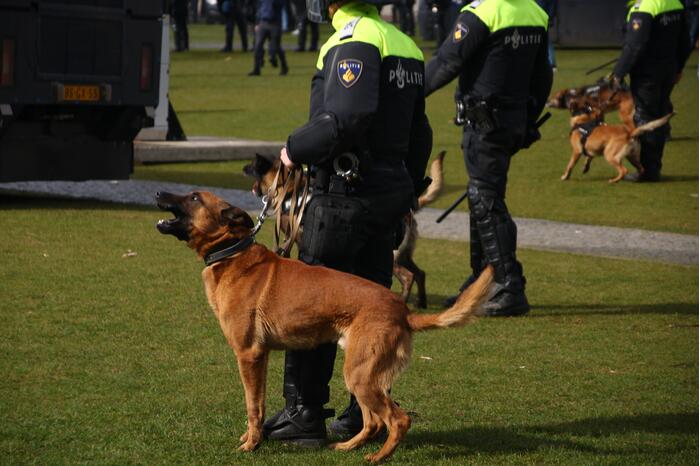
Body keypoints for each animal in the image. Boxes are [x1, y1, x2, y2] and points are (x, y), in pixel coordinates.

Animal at [154, 191, 492, 464]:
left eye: (194, 197)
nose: (158, 192)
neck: (232, 251)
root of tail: (403, 311)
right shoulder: (260, 357)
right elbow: (259, 404)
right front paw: (254, 438)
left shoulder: (248, 355)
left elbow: (252, 406)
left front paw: (251, 445)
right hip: (360, 374)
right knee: (374, 422)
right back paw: (348, 447)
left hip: (360, 375)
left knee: (399, 420)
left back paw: (378, 457)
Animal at [243, 151, 446, 308]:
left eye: (251, 167)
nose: (243, 168)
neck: (289, 186)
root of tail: (409, 212)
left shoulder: (296, 239)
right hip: (403, 255)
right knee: (420, 273)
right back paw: (421, 302)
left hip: (395, 259)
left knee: (408, 277)